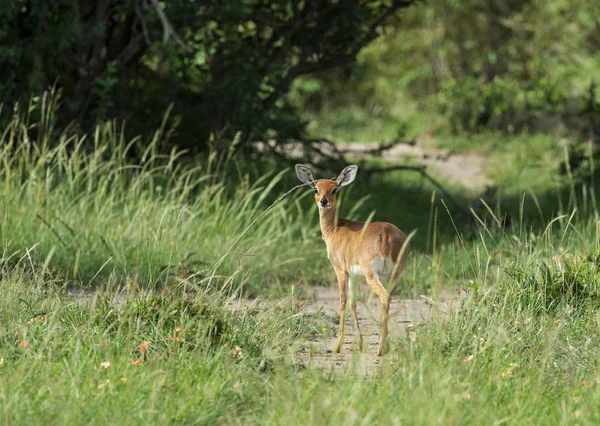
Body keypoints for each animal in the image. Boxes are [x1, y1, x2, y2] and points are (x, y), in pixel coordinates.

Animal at [296, 164, 410, 356]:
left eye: (334, 189)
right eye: (315, 188)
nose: (323, 201)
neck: (335, 229)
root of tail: (386, 235)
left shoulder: (341, 270)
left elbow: (343, 300)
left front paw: (338, 345)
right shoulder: (354, 274)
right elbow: (352, 303)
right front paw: (360, 344)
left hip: (372, 275)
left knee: (384, 297)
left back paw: (380, 349)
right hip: (394, 275)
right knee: (389, 298)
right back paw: (385, 345)